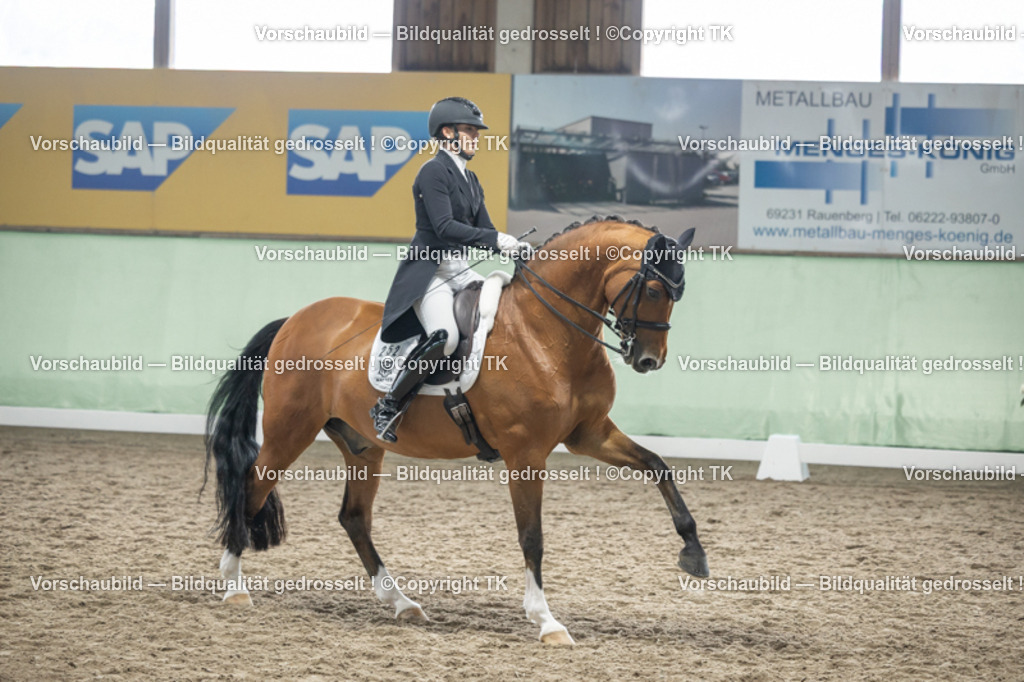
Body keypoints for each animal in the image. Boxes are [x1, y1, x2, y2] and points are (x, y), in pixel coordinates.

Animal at [203, 216, 708, 645]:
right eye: (655, 289)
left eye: (678, 292)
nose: (649, 359)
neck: (545, 332)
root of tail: (294, 320)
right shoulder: (526, 453)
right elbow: (532, 536)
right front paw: (546, 621)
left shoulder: (590, 434)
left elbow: (658, 466)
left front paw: (694, 554)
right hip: (290, 430)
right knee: (251, 488)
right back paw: (233, 587)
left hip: (362, 445)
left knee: (353, 517)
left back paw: (401, 602)